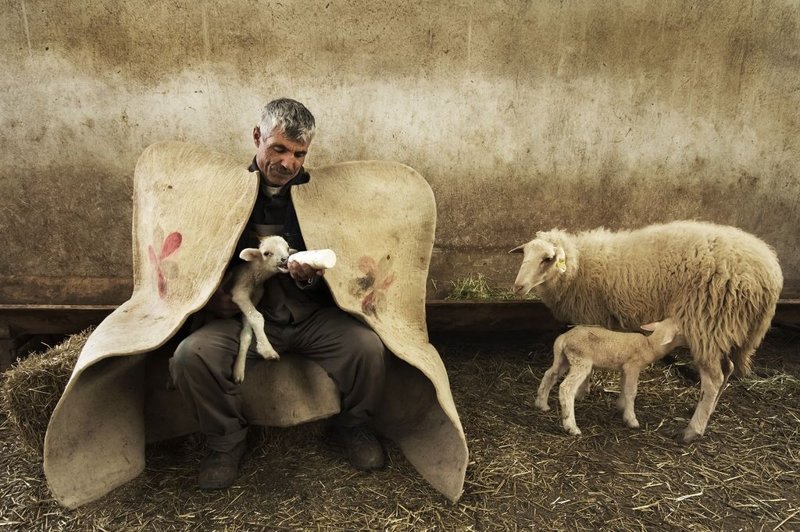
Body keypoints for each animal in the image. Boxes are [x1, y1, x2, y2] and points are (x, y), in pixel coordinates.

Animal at [230, 235, 292, 384]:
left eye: (287, 248)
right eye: (266, 253)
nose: (285, 259)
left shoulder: (256, 295)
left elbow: (247, 331)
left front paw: (238, 371)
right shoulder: (240, 291)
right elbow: (257, 317)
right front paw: (267, 350)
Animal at [536, 318, 684, 434]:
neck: (649, 346)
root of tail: (564, 338)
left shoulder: (624, 368)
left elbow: (623, 387)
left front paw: (621, 406)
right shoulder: (632, 367)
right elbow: (631, 392)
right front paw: (631, 419)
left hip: (563, 359)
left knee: (550, 375)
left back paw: (541, 404)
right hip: (580, 361)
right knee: (566, 388)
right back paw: (571, 426)